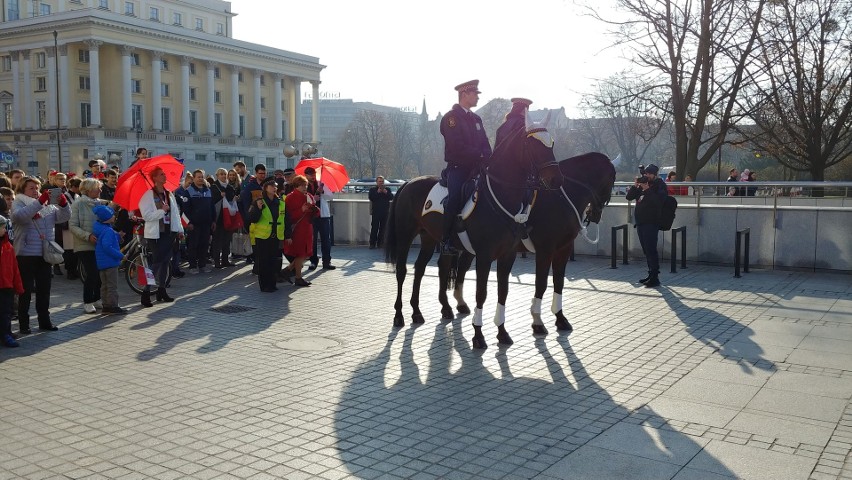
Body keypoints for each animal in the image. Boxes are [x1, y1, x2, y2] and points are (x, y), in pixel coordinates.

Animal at [382, 112, 564, 348]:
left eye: (552, 143)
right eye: (533, 144)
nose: (557, 179)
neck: (501, 195)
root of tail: (408, 183)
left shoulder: (507, 255)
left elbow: (503, 292)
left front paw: (502, 332)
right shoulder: (484, 256)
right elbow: (481, 293)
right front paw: (478, 335)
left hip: (429, 238)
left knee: (421, 269)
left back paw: (418, 312)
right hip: (405, 236)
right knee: (402, 271)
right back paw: (399, 315)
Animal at [524, 153, 616, 334]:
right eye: (611, 181)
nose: (594, 215)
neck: (559, 200)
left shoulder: (563, 249)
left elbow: (559, 281)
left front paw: (560, 318)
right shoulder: (545, 250)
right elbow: (541, 283)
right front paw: (537, 321)